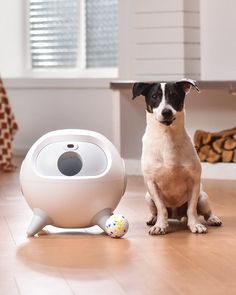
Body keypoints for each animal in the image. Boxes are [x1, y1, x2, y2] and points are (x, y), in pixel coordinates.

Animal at [132, 78, 222, 236]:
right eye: (154, 96)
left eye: (174, 95)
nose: (166, 112)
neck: (167, 137)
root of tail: (176, 215)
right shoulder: (152, 184)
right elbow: (161, 208)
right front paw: (160, 225)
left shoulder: (194, 182)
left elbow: (191, 209)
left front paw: (195, 225)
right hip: (148, 197)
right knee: (157, 211)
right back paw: (153, 219)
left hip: (203, 198)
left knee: (205, 212)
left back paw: (212, 219)